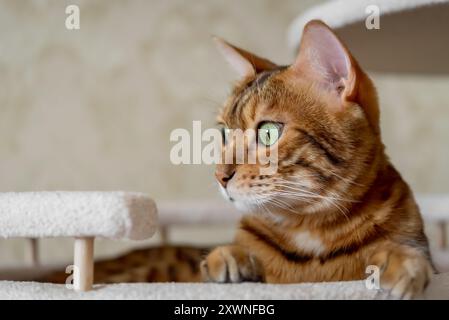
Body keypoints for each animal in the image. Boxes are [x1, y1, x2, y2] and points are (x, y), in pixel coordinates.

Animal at [44, 21, 430, 298]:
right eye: (223, 133)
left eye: (269, 132)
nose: (220, 176)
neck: (312, 229)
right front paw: (231, 259)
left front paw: (401, 264)